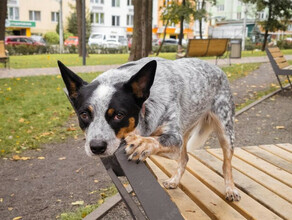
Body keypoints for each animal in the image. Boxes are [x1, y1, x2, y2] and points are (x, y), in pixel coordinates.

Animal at [57, 56, 242, 201]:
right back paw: (174, 181)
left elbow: (153, 141)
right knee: (184, 159)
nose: (96, 147)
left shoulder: (174, 138)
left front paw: (141, 144)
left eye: (119, 115)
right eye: (84, 114)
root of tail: (217, 68)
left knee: (226, 164)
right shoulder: (175, 140)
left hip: (226, 131)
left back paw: (230, 189)